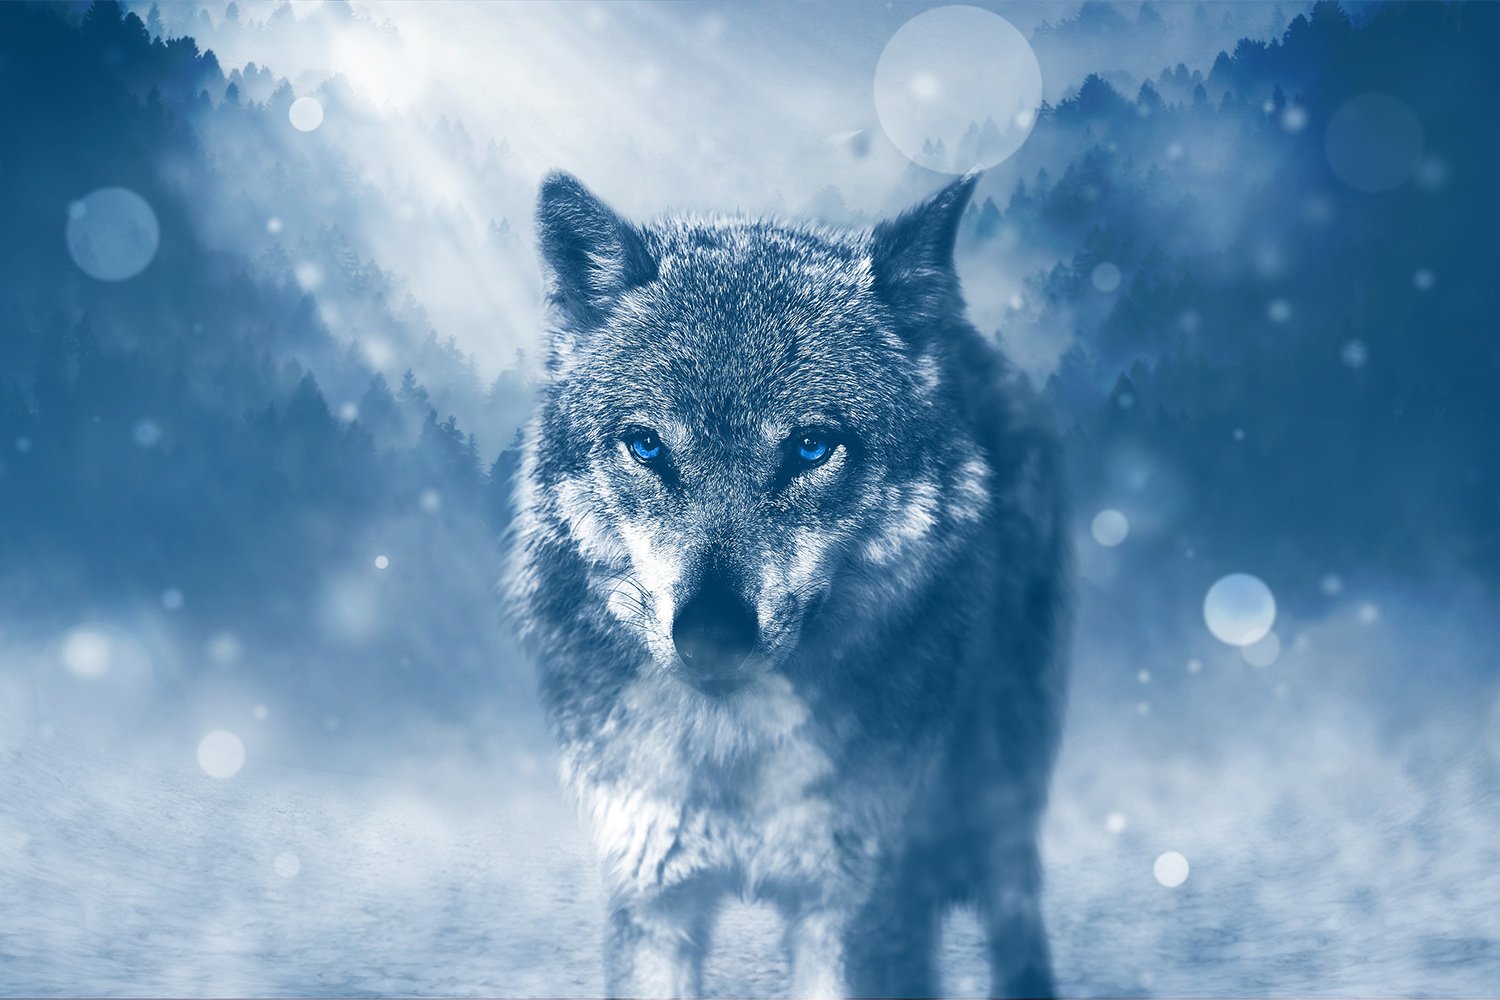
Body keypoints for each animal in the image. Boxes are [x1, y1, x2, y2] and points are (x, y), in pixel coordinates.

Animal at [506, 170, 1070, 999]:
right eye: (647, 446)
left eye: (810, 447)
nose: (711, 635)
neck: (733, 753)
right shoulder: (652, 896)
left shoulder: (855, 905)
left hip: (1000, 783)